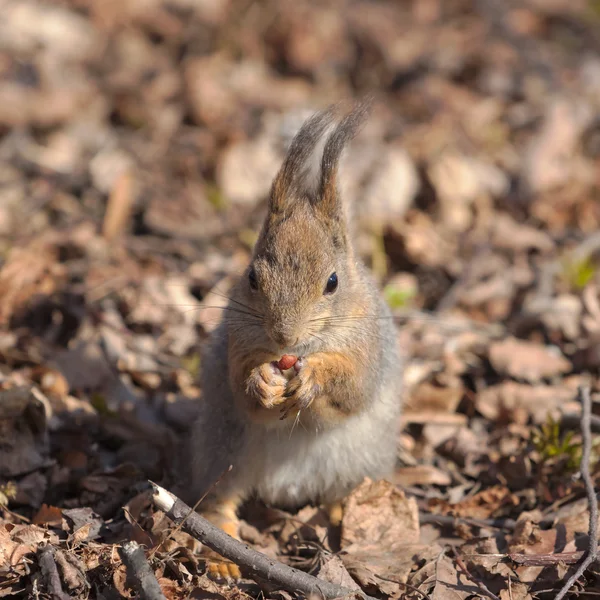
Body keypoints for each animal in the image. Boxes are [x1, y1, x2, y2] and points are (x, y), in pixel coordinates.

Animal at [180, 101, 400, 580]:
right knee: (222, 495)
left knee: (338, 493)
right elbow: (243, 385)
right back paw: (220, 552)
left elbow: (352, 390)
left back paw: (340, 514)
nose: (285, 336)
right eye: (251, 278)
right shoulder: (238, 343)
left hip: (358, 461)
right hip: (225, 443)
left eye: (333, 282)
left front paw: (315, 377)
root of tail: (286, 488)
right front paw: (261, 381)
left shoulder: (369, 349)